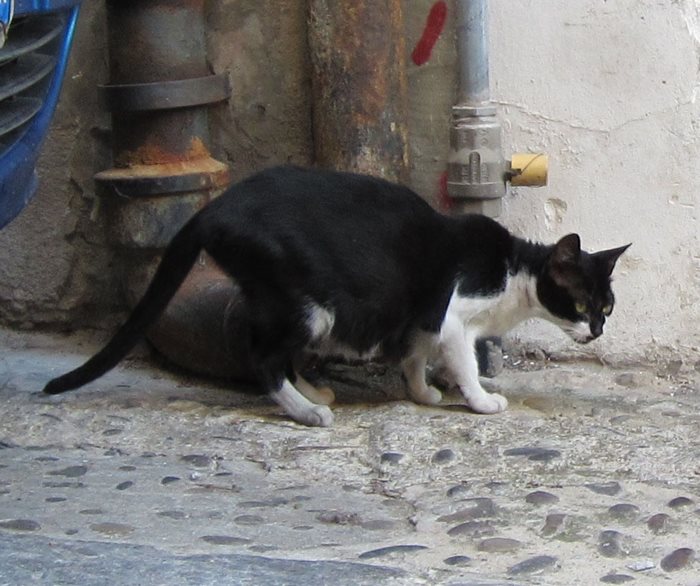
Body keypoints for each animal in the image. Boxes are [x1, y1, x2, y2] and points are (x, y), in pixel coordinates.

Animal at [46, 164, 632, 424]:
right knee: (258, 353)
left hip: (290, 301)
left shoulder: (420, 320)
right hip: (307, 303)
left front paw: (421, 393)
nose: (596, 331)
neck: (514, 275)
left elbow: (414, 357)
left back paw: (313, 391)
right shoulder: (451, 316)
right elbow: (462, 361)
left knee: (265, 344)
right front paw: (481, 400)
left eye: (606, 308)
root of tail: (213, 209)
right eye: (583, 305)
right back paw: (306, 412)